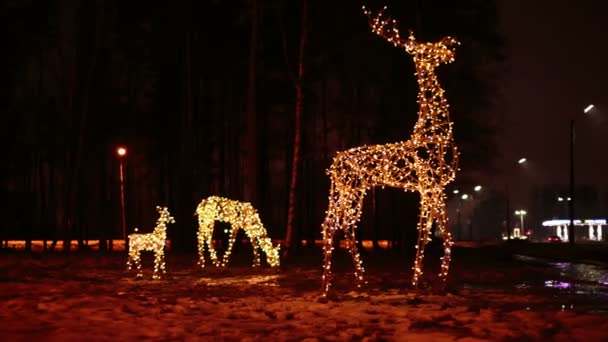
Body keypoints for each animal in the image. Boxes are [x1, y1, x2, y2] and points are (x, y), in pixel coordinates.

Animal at [320, 4, 458, 294]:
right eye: (428, 46)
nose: (451, 43)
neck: (437, 132)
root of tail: (334, 163)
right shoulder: (429, 184)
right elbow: (426, 234)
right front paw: (421, 282)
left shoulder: (436, 187)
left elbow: (442, 233)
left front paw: (434, 282)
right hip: (352, 189)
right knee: (342, 225)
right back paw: (347, 284)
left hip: (343, 190)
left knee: (333, 225)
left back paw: (338, 284)